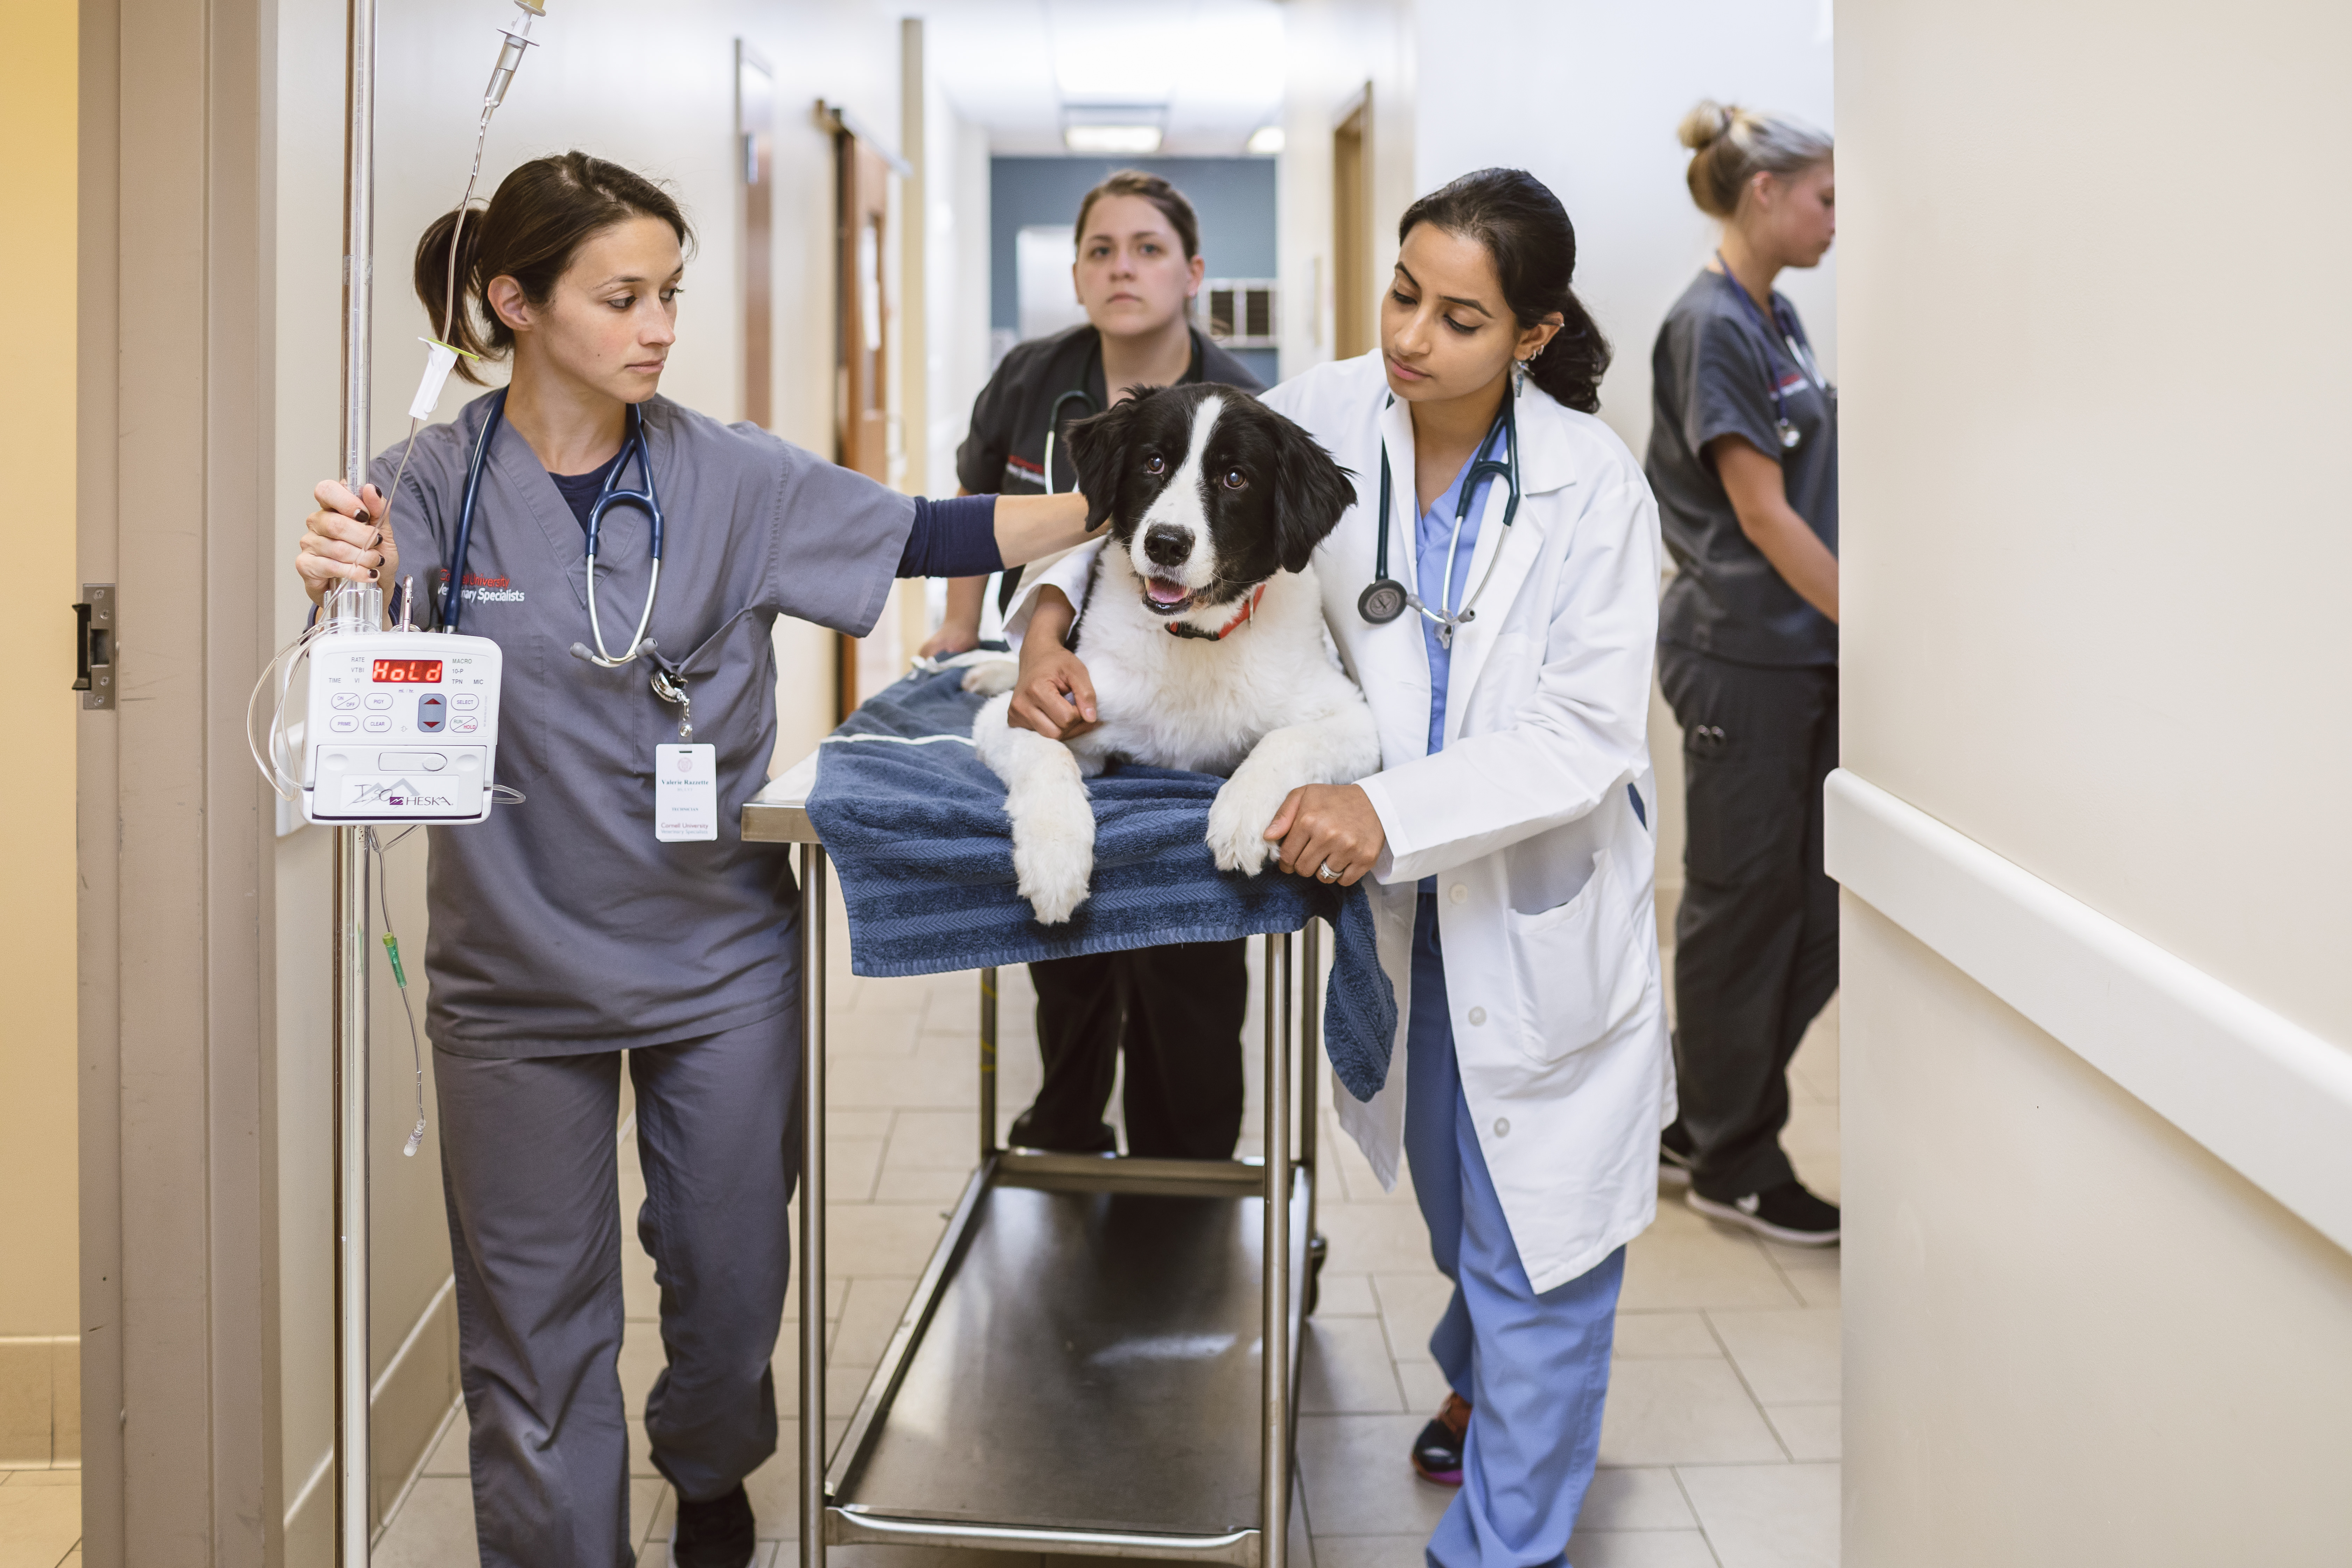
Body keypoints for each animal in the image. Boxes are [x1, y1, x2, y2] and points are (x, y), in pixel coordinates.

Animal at [969, 385, 1373, 926]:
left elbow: (1287, 740)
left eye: (1235, 477)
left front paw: (1243, 813)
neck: (1194, 639)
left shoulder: (1355, 718)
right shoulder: (1035, 707)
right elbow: (1048, 754)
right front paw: (1054, 859)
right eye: (1154, 462)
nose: (1165, 544)